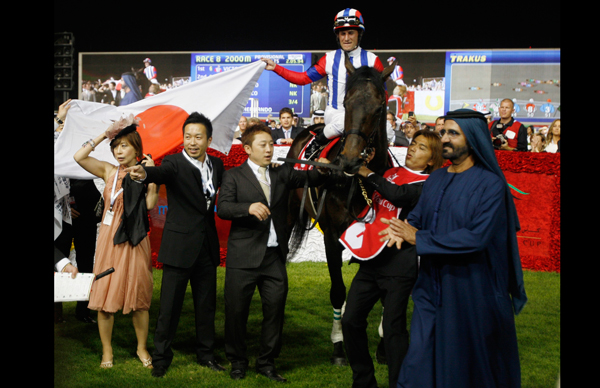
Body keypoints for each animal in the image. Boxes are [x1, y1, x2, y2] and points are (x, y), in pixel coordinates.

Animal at [284, 55, 394, 366]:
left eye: (380, 106)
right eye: (346, 102)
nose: (350, 160)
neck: (357, 184)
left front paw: (383, 348)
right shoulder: (332, 237)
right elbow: (337, 292)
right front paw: (338, 347)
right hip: (289, 214)